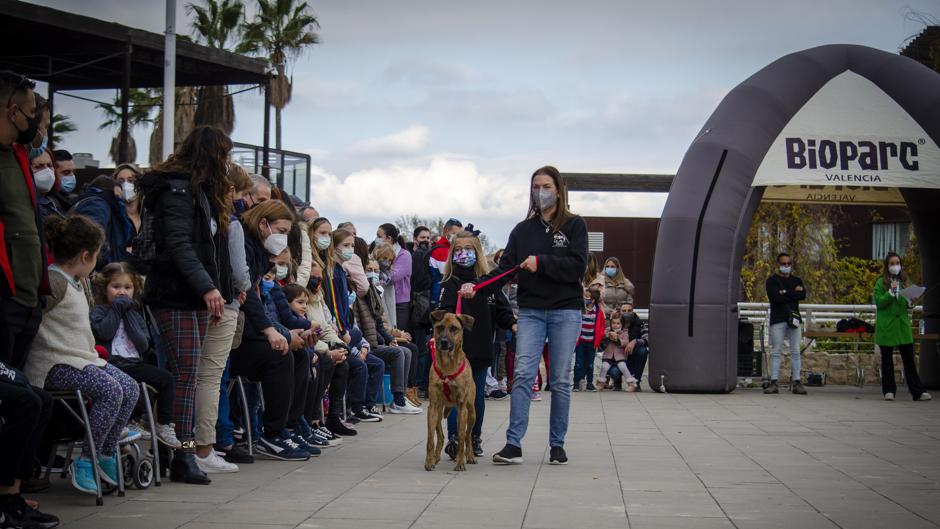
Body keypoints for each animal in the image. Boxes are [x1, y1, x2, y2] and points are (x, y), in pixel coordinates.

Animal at [430, 310, 482, 470]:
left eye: (454, 328)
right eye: (440, 327)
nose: (444, 342)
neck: (447, 365)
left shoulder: (462, 406)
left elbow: (462, 435)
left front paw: (460, 462)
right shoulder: (432, 405)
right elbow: (430, 438)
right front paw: (428, 461)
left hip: (471, 412)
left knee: (467, 434)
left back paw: (469, 456)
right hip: (438, 412)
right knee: (440, 436)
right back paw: (435, 458)